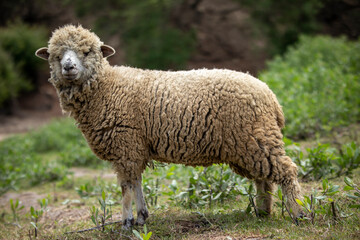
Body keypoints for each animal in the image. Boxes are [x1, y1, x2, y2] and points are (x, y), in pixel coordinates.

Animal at [35, 24, 304, 229]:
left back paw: (299, 213)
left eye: (87, 51)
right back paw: (263, 211)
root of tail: (270, 95)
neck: (106, 87)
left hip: (255, 137)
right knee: (264, 179)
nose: (68, 67)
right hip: (248, 144)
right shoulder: (134, 148)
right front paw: (141, 217)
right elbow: (136, 182)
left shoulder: (126, 144)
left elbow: (126, 187)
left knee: (287, 171)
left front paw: (126, 222)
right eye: (56, 55)